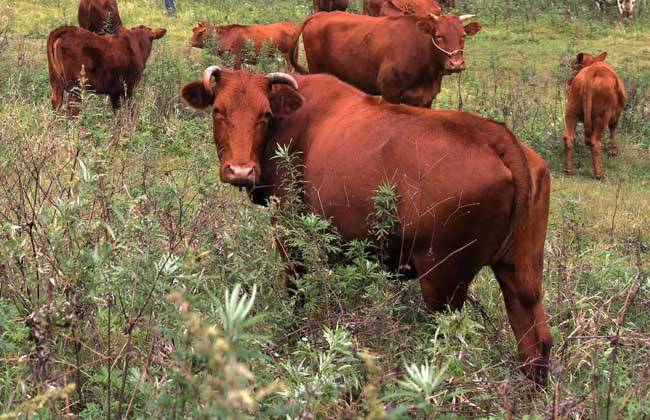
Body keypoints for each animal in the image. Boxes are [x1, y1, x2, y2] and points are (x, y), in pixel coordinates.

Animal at [178, 67, 552, 386]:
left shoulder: (289, 229)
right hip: (519, 270)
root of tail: (497, 136)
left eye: (265, 115)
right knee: (537, 341)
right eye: (218, 111)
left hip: (443, 279)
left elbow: (296, 293)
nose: (240, 170)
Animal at [288, 13, 476, 108]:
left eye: (463, 35)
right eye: (439, 36)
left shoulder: (426, 99)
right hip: (317, 69)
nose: (456, 63)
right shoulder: (389, 91)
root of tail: (319, 15)